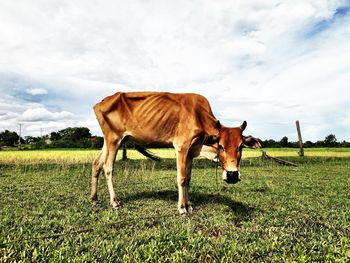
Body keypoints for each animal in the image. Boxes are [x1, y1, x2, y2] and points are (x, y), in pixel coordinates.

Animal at [91, 92, 262, 216]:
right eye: (221, 146)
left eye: (241, 147)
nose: (232, 175)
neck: (198, 114)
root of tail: (102, 101)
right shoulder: (181, 146)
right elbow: (181, 178)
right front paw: (182, 208)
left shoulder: (192, 151)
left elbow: (188, 179)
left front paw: (189, 205)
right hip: (114, 139)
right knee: (108, 168)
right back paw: (114, 202)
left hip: (108, 141)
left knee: (96, 164)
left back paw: (94, 199)